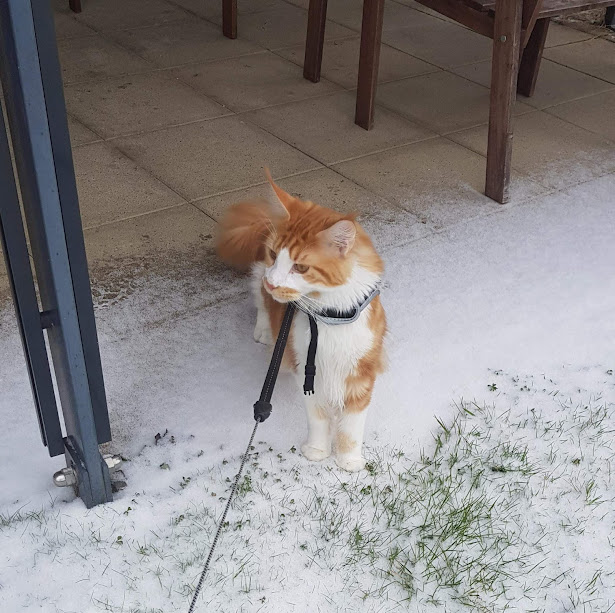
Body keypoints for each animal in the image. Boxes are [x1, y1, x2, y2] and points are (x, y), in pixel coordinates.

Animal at [217, 170, 386, 472]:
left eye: (301, 267)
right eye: (275, 255)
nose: (273, 283)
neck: (331, 317)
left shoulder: (362, 372)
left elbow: (351, 426)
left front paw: (349, 460)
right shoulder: (305, 369)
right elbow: (318, 418)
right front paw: (317, 451)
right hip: (259, 277)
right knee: (260, 300)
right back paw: (264, 330)